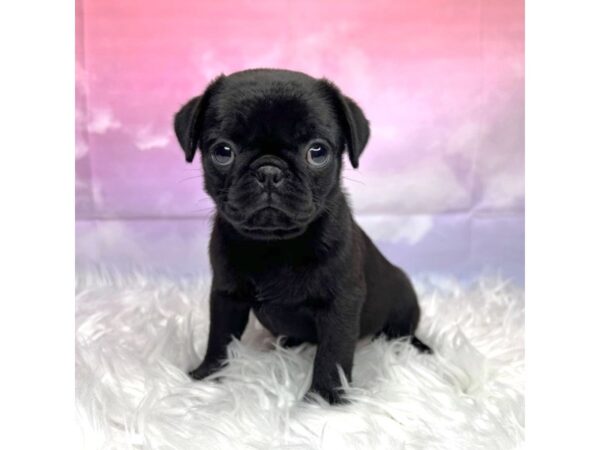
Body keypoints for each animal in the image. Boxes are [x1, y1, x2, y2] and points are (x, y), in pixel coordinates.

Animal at [175, 67, 432, 404]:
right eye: (223, 152)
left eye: (317, 152)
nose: (269, 171)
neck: (274, 245)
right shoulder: (226, 295)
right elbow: (219, 337)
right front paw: (206, 376)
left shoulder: (340, 304)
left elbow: (333, 354)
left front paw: (324, 399)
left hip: (402, 303)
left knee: (403, 333)